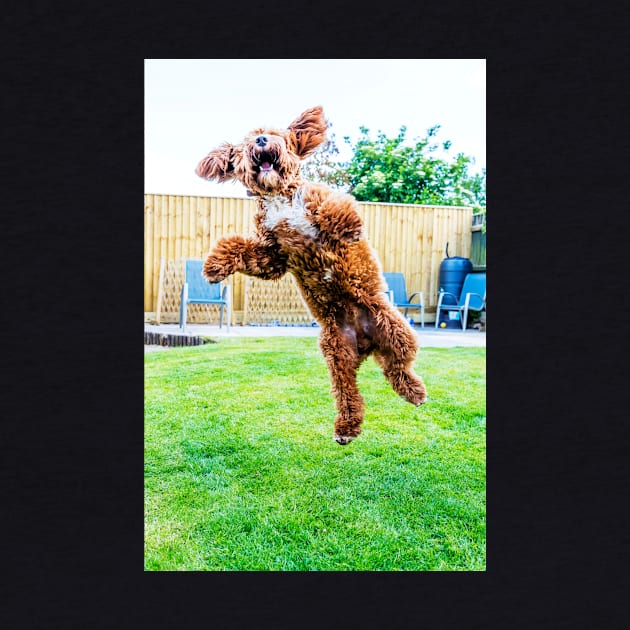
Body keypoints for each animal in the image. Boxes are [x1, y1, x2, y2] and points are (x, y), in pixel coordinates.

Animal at [195, 106, 428, 446]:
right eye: (248, 141)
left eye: (276, 134)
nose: (262, 141)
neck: (279, 196)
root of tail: (367, 342)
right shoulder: (273, 255)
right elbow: (238, 247)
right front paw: (215, 264)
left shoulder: (316, 202)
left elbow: (334, 206)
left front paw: (347, 226)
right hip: (336, 351)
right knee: (350, 390)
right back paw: (346, 428)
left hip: (395, 329)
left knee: (398, 368)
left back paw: (414, 393)